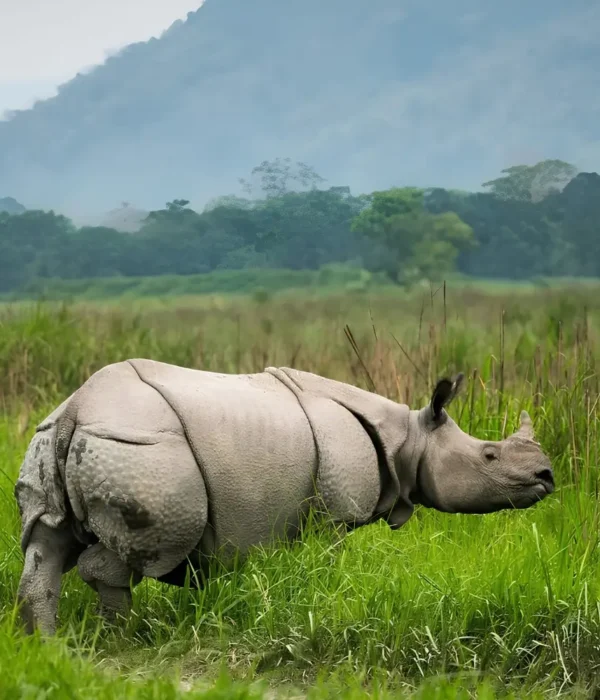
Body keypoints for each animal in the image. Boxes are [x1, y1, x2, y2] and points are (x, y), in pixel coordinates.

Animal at [13, 359, 554, 636]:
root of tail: (76, 410)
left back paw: (46, 643)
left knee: (46, 543)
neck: (408, 437)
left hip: (51, 438)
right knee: (141, 552)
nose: (547, 476)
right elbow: (331, 559)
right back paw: (121, 636)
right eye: (489, 456)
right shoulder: (335, 513)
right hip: (146, 452)